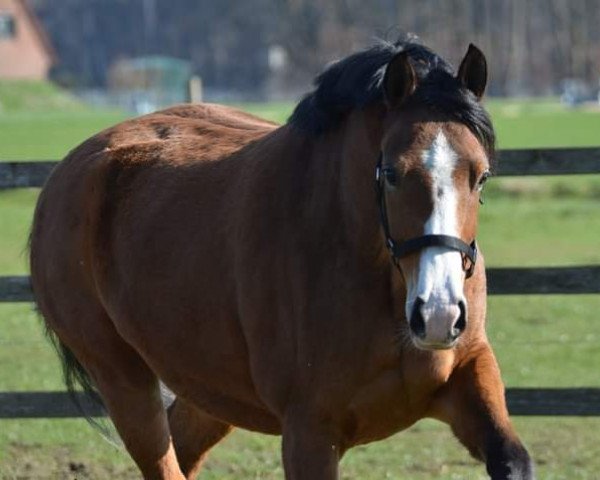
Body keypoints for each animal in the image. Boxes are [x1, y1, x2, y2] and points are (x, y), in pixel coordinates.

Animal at [28, 39, 536, 478]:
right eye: (392, 173)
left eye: (481, 175)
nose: (438, 314)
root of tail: (66, 176)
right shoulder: (309, 433)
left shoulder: (469, 376)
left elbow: (513, 460)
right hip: (123, 379)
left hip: (210, 391)